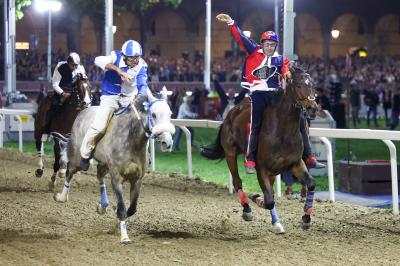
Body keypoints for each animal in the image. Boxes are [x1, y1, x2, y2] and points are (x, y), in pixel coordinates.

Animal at [54, 87, 174, 243]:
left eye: (170, 114)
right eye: (153, 114)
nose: (167, 143)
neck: (132, 140)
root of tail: (83, 111)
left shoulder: (137, 179)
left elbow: (132, 209)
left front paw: (117, 222)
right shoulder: (117, 177)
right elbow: (122, 208)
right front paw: (124, 236)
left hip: (104, 163)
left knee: (99, 175)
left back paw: (102, 205)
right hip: (77, 158)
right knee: (70, 171)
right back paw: (62, 196)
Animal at [202, 64, 318, 233]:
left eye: (313, 86)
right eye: (298, 85)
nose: (312, 108)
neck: (283, 131)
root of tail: (232, 111)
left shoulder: (295, 163)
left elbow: (311, 183)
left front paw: (306, 218)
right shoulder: (261, 168)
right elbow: (269, 200)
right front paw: (257, 198)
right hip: (230, 152)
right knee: (237, 182)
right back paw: (247, 209)